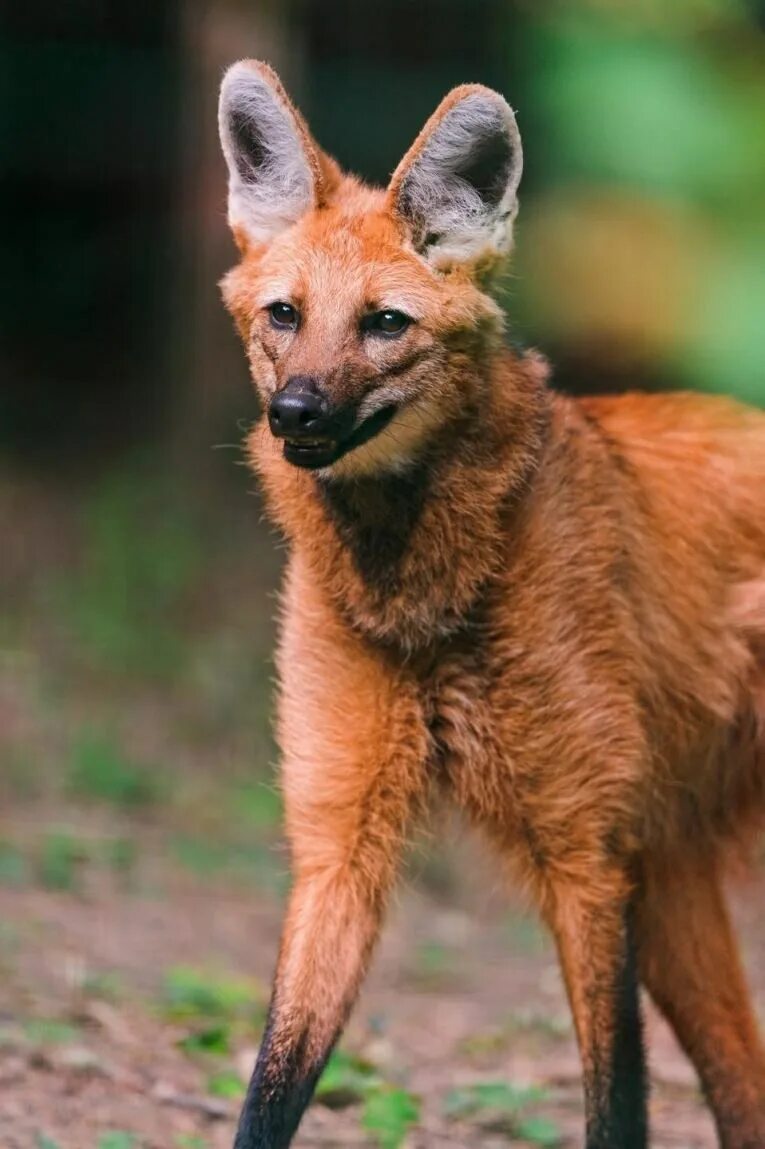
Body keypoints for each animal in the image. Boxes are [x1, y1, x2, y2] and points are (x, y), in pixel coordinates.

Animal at [215, 60, 762, 1149]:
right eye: (285, 314)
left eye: (385, 323)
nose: (295, 412)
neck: (420, 594)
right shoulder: (338, 844)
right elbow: (270, 1091)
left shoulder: (586, 856)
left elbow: (615, 1106)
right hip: (676, 895)